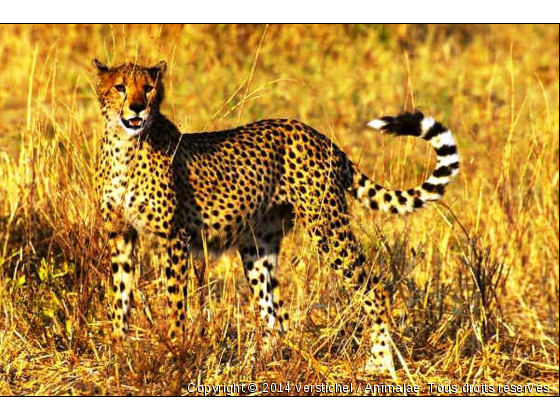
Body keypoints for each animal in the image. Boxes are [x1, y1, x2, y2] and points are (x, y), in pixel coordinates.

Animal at [92, 60, 460, 378]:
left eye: (149, 88)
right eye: (120, 87)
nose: (137, 108)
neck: (126, 146)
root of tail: (317, 134)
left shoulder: (175, 237)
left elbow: (175, 302)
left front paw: (173, 351)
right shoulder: (120, 234)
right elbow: (120, 296)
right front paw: (117, 351)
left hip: (328, 228)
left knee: (373, 287)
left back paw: (380, 362)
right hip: (258, 245)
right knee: (275, 314)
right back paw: (258, 364)